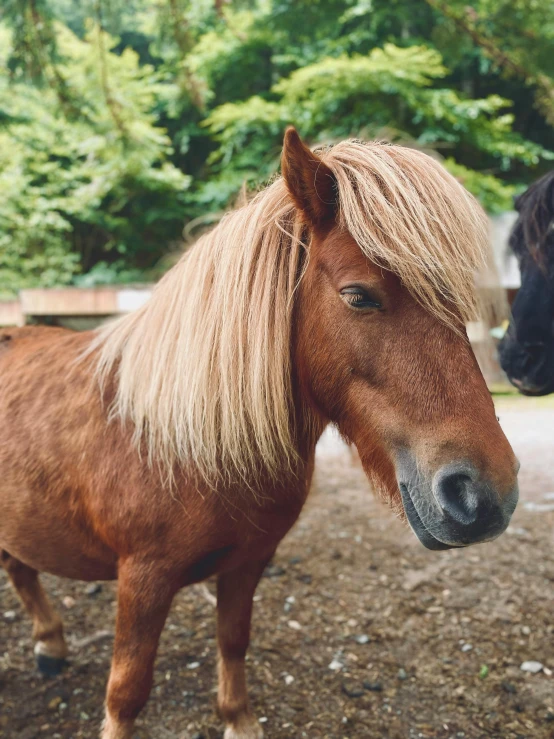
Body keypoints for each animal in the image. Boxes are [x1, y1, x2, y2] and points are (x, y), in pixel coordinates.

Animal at [0, 132, 516, 739]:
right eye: (358, 295)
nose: (484, 495)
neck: (189, 446)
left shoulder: (249, 561)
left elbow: (233, 641)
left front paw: (238, 719)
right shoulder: (142, 580)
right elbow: (127, 691)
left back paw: (51, 646)